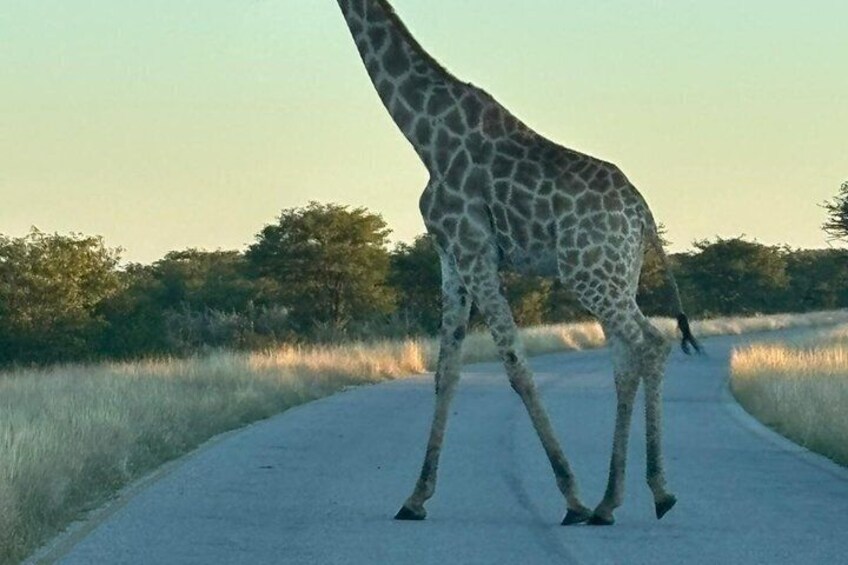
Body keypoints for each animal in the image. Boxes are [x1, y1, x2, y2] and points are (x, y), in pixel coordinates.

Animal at [334, 0, 701, 526]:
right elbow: (446, 371)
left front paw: (571, 497)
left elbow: (516, 366)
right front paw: (415, 497)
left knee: (651, 344)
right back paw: (609, 502)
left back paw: (657, 493)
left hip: (590, 274)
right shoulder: (449, 252)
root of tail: (644, 215)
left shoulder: (473, 247)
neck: (424, 135)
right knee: (624, 360)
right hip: (617, 275)